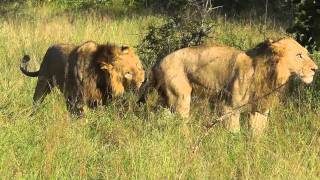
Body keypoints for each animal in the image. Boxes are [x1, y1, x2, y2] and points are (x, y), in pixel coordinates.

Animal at [140, 38, 318, 136]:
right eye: (299, 55)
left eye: (305, 53)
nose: (315, 69)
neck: (271, 73)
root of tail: (157, 63)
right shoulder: (229, 108)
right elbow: (234, 133)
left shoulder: (260, 110)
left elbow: (256, 134)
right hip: (180, 98)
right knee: (181, 123)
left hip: (167, 100)